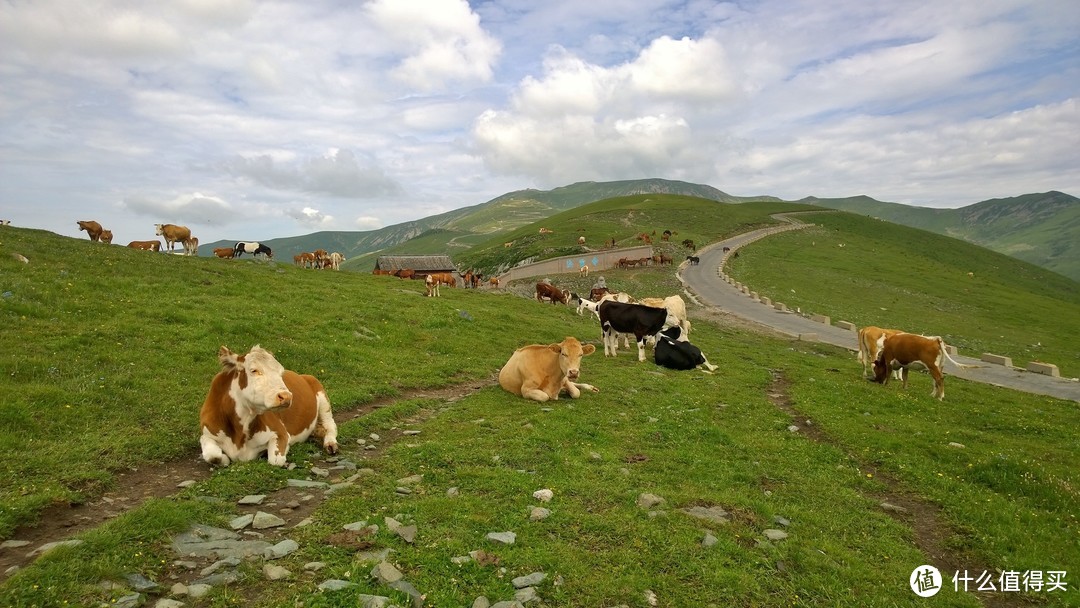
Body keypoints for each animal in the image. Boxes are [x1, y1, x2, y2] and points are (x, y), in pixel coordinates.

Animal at [198, 345, 339, 468]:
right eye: (254, 370)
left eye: (280, 372)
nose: (286, 396)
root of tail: (303, 375)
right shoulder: (207, 433)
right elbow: (213, 456)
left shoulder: (281, 433)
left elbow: (276, 460)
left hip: (322, 397)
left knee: (330, 425)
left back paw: (330, 442)